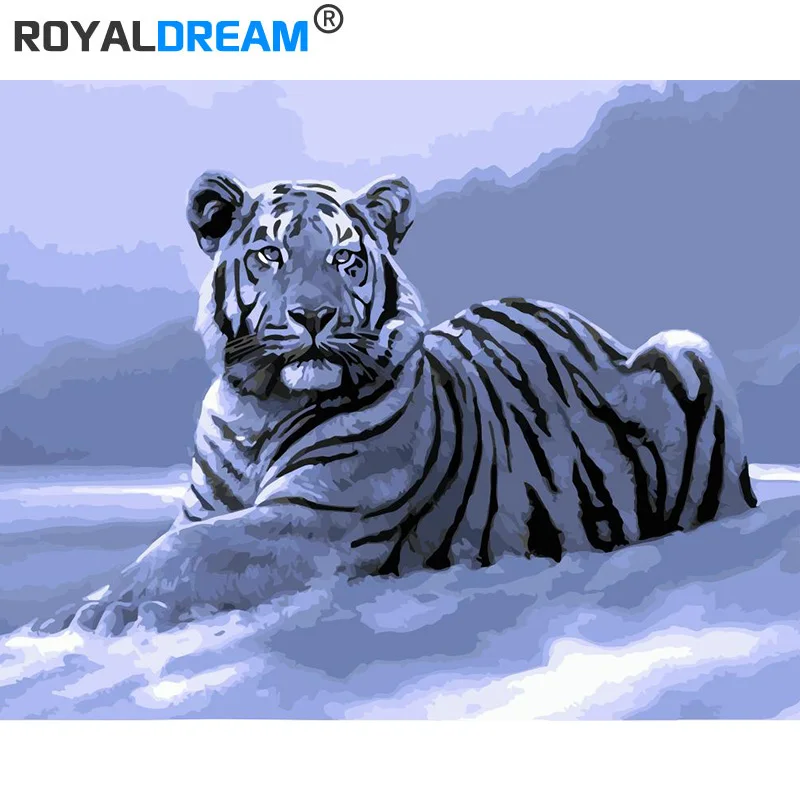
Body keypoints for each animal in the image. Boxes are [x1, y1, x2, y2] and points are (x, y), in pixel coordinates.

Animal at [35, 171, 758, 636]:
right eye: (269, 254)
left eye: (344, 259)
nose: (313, 316)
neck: (261, 407)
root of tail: (594, 327)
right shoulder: (208, 507)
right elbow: (176, 539)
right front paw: (85, 606)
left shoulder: (316, 519)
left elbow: (188, 552)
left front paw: (100, 611)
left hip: (687, 349)